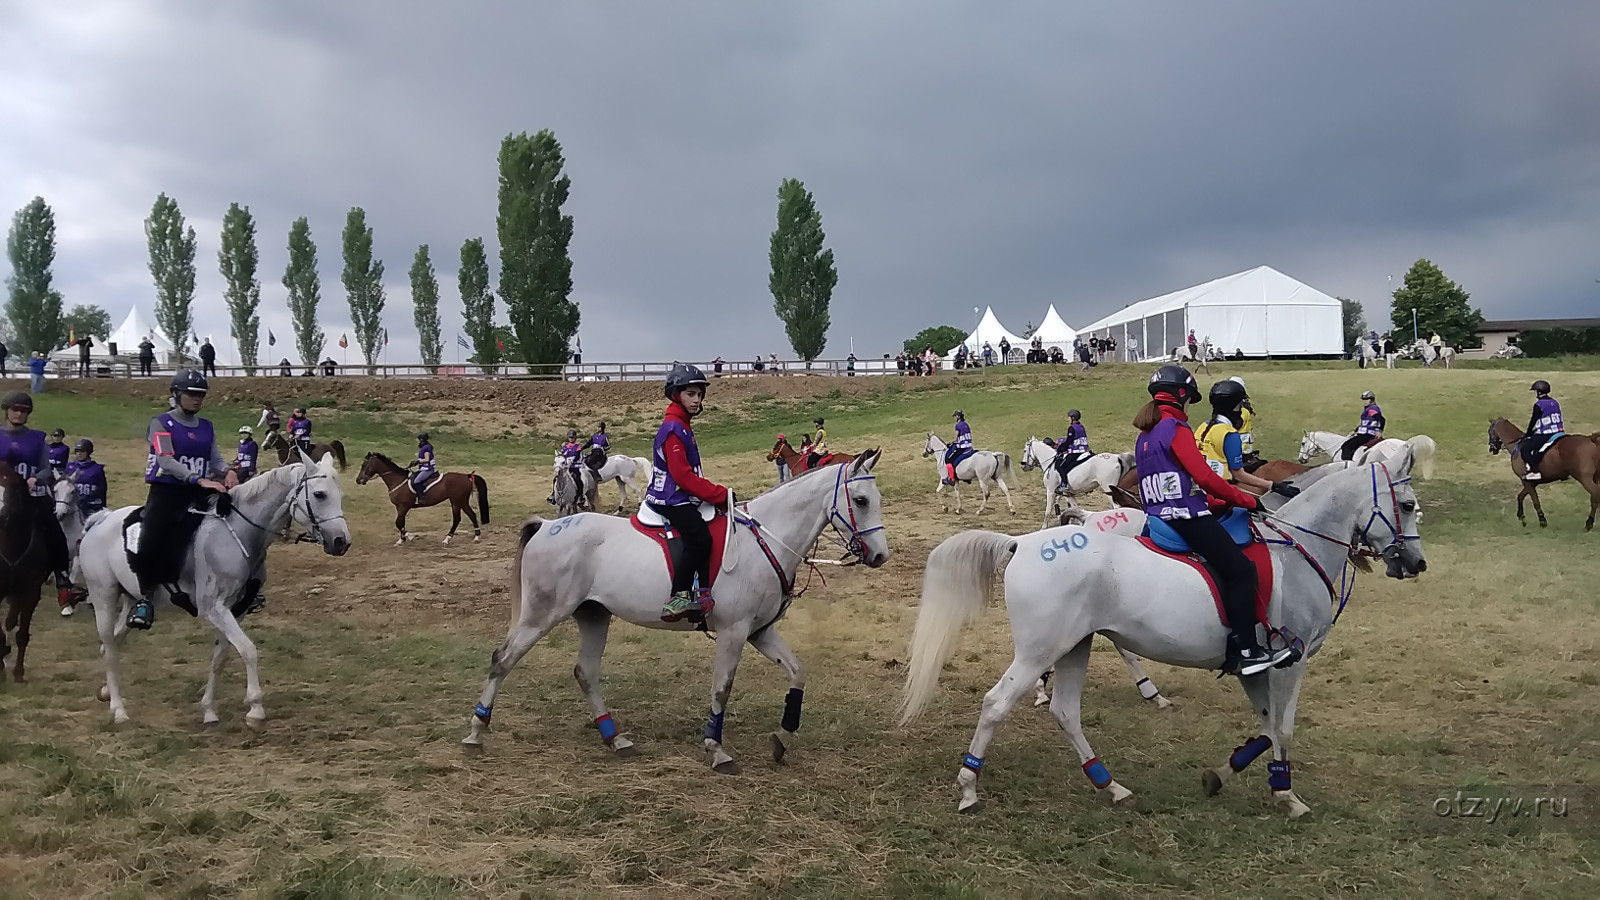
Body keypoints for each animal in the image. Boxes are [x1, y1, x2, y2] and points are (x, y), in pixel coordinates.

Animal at [78, 451, 353, 723]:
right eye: (320, 495)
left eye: (340, 496)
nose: (342, 542)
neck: (239, 534)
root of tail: (101, 520)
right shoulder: (214, 608)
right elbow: (248, 650)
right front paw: (255, 708)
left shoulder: (236, 609)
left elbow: (221, 657)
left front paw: (209, 709)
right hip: (103, 597)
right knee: (109, 647)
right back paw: (118, 709)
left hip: (132, 600)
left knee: (111, 643)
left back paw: (106, 691)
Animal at [356, 451, 486, 544]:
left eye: (364, 465)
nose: (358, 480)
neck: (398, 480)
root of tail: (467, 476)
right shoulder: (399, 507)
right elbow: (401, 522)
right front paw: (401, 539)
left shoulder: (404, 506)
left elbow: (398, 522)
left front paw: (410, 537)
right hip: (461, 501)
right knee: (470, 515)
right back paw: (475, 537)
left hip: (457, 501)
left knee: (458, 518)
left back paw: (449, 539)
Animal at [902, 451, 1427, 816]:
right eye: (1407, 504)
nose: (1416, 563)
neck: (1298, 548)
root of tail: (1022, 543)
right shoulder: (1287, 664)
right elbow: (1281, 728)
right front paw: (1285, 793)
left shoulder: (1255, 668)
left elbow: (1263, 726)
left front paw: (1222, 774)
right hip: (1039, 651)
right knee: (996, 704)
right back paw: (969, 788)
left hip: (1074, 647)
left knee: (1066, 712)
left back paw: (1110, 784)